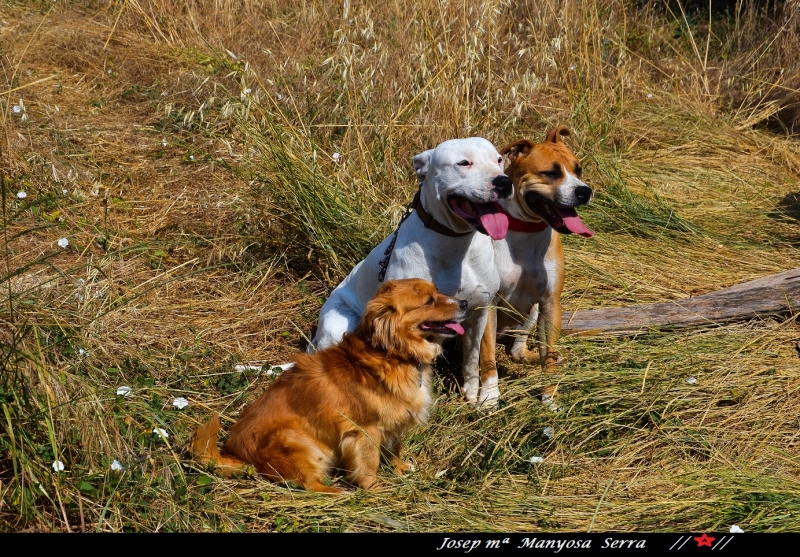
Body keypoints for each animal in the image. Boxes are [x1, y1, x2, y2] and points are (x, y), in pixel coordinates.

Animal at [195, 276, 468, 490]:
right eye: (429, 301)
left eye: (438, 291)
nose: (465, 303)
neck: (393, 354)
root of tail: (238, 454)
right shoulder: (365, 430)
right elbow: (369, 465)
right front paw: (375, 490)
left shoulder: (391, 424)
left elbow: (393, 449)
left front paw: (399, 468)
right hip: (299, 442)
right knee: (308, 485)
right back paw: (338, 493)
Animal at [312, 137, 512, 406]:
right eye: (464, 163)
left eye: (499, 159)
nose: (504, 182)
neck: (455, 243)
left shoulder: (480, 310)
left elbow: (472, 357)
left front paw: (472, 394)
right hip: (338, 325)